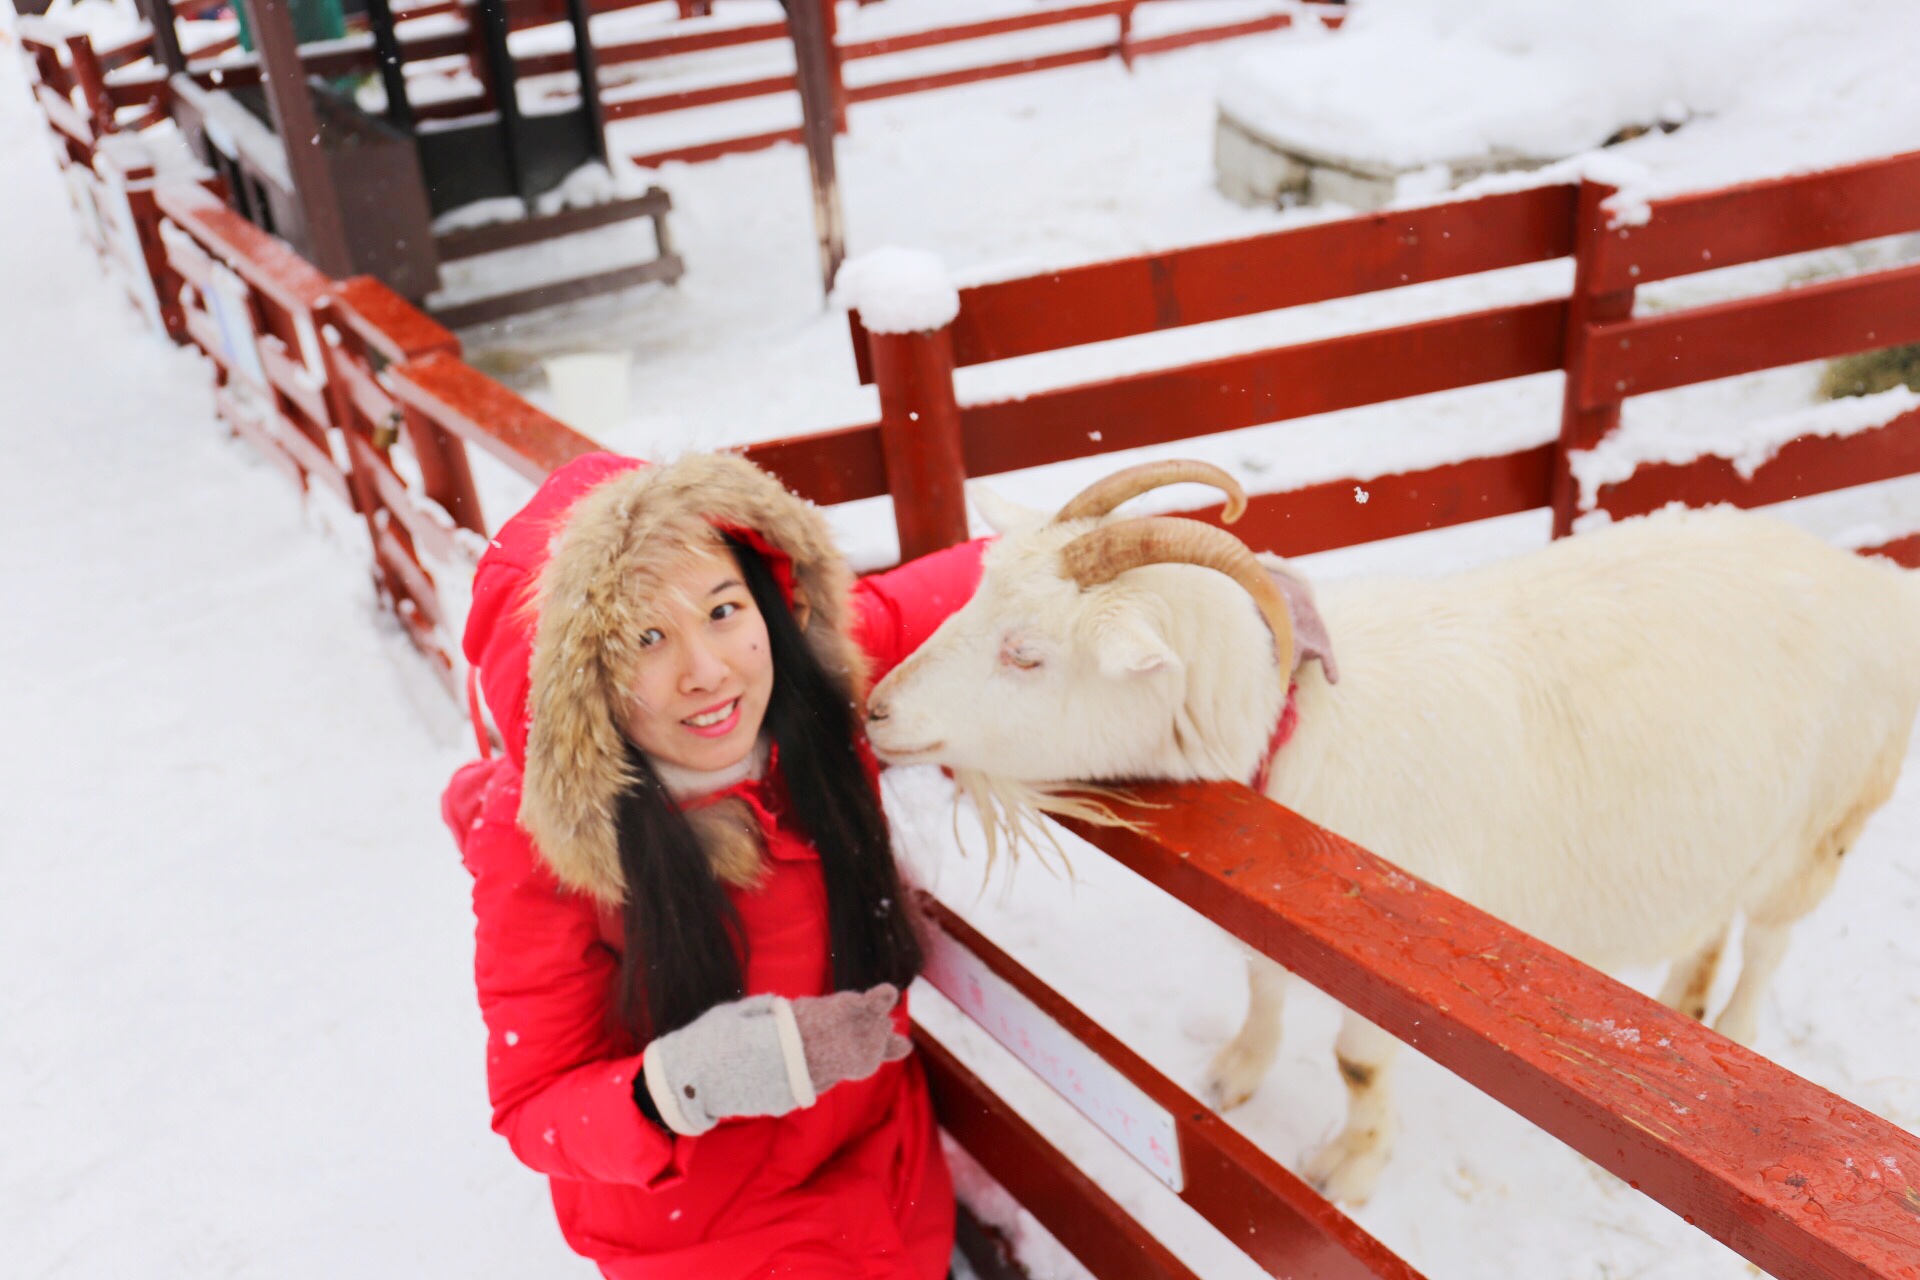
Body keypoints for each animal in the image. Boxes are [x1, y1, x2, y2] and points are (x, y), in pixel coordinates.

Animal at [871, 460, 1920, 1205]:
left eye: (1027, 655)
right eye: (973, 596)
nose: (877, 709)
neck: (1289, 725)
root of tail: (1875, 581)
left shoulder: (1395, 955)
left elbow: (1359, 1064)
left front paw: (1349, 1168)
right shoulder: (1270, 900)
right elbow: (1260, 980)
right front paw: (1236, 1072)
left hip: (1825, 822)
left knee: (1771, 941)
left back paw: (1733, 1030)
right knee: (1706, 928)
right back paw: (1684, 1011)